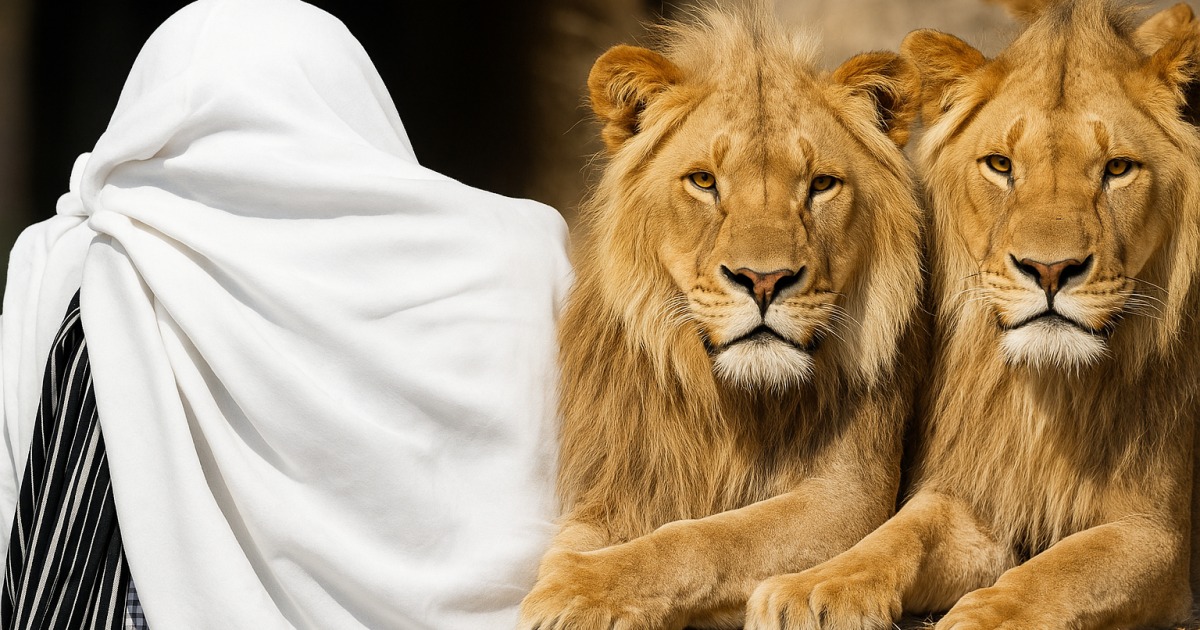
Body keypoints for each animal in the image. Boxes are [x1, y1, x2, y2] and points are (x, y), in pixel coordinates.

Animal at [515, 6, 927, 630]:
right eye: (704, 181)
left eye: (821, 184)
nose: (763, 280)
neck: (735, 401)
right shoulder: (620, 482)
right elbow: (578, 537)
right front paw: (567, 572)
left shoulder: (851, 493)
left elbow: (707, 537)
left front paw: (580, 588)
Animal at [744, 1, 1200, 629]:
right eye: (1001, 165)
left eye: (1117, 169)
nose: (1049, 269)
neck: (1045, 392)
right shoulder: (969, 495)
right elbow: (896, 536)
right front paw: (814, 585)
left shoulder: (1158, 535)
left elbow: (1064, 569)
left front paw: (992, 613)